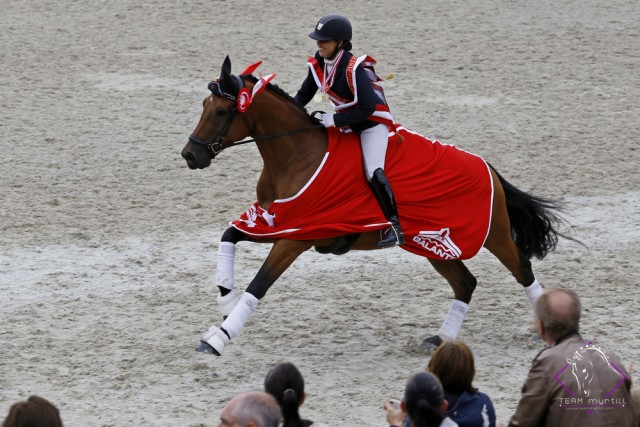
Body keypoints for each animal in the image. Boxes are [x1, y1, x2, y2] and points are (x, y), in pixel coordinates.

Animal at [180, 57, 564, 358]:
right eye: (203, 105)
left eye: (222, 111)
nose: (190, 155)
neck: (294, 157)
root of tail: (488, 167)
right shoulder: (273, 220)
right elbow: (228, 237)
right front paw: (226, 303)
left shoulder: (296, 236)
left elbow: (259, 283)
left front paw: (219, 337)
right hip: (433, 244)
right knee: (465, 283)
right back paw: (441, 338)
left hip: (491, 235)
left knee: (522, 270)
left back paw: (544, 330)